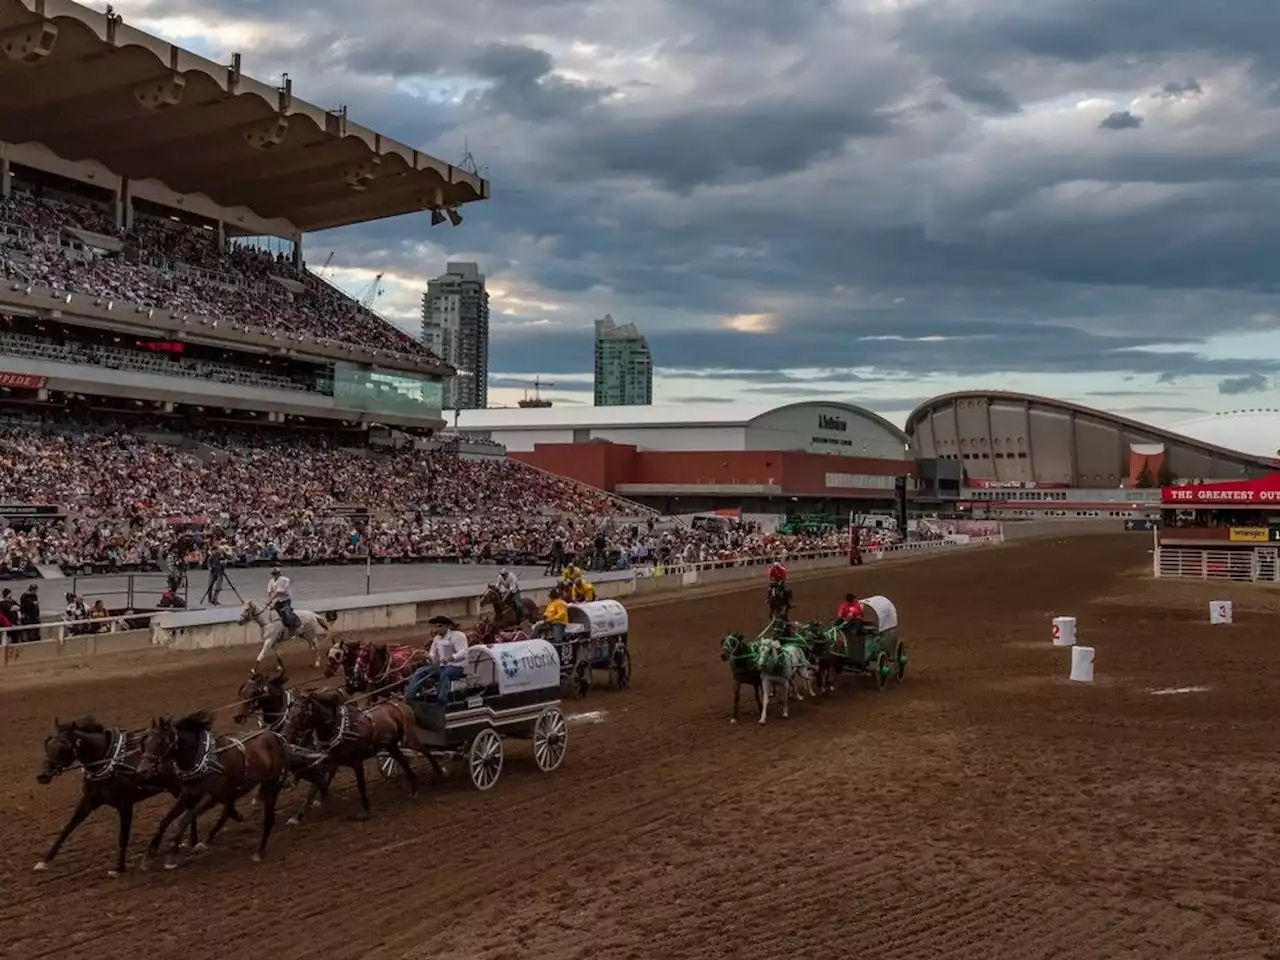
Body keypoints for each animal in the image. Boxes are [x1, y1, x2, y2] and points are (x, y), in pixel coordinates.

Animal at [34, 716, 240, 880]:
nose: (42, 776)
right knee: (191, 810)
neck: (110, 760)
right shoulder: (89, 801)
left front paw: (119, 868)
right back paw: (192, 841)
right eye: (48, 745)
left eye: (64, 747)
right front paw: (44, 861)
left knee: (198, 807)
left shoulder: (125, 804)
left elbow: (123, 837)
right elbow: (67, 828)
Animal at [140, 711, 290, 870]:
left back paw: (259, 851)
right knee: (228, 809)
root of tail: (275, 736)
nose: (142, 770)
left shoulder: (209, 796)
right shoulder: (189, 794)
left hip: (270, 783)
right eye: (145, 742)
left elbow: (184, 820)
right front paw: (149, 855)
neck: (204, 760)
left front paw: (172, 855)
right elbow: (166, 820)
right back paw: (213, 836)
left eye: (160, 742)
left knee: (268, 818)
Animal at [277, 686, 432, 824]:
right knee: (404, 762)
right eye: (289, 711)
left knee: (426, 751)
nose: (284, 734)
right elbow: (314, 786)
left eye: (301, 712)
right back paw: (414, 790)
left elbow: (360, 785)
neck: (340, 728)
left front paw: (365, 811)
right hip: (391, 746)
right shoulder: (330, 761)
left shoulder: (356, 762)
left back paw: (437, 773)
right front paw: (297, 816)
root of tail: (399, 701)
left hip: (409, 739)